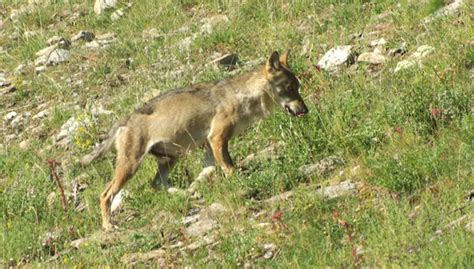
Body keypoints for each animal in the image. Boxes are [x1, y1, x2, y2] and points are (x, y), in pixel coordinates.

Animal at [79, 50, 310, 230]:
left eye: (297, 87)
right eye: (290, 88)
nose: (305, 110)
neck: (243, 97)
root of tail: (125, 120)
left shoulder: (209, 146)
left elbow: (207, 171)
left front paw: (196, 187)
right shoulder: (217, 139)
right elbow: (229, 168)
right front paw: (240, 184)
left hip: (169, 160)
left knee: (157, 184)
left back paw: (183, 194)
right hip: (131, 166)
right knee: (105, 194)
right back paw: (108, 226)